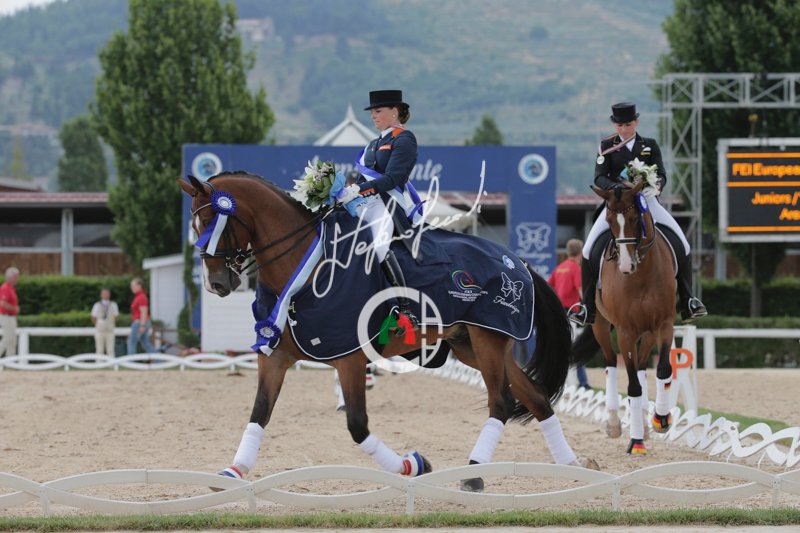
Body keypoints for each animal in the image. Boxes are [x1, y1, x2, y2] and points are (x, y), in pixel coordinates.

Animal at [179, 171, 597, 492]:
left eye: (214, 222)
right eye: (195, 225)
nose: (216, 283)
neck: (305, 270)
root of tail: (516, 260)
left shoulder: (349, 358)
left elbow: (357, 426)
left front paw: (413, 465)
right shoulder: (276, 355)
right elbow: (259, 414)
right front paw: (233, 473)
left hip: (489, 341)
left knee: (501, 401)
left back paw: (475, 473)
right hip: (471, 344)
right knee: (536, 397)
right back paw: (572, 466)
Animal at [572, 180, 675, 455]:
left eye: (634, 218)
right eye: (608, 221)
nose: (626, 266)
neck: (642, 274)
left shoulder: (664, 324)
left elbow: (663, 369)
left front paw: (661, 419)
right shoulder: (626, 331)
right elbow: (632, 386)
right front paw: (635, 441)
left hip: (647, 332)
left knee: (641, 366)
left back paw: (647, 425)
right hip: (600, 325)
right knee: (610, 363)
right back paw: (614, 424)